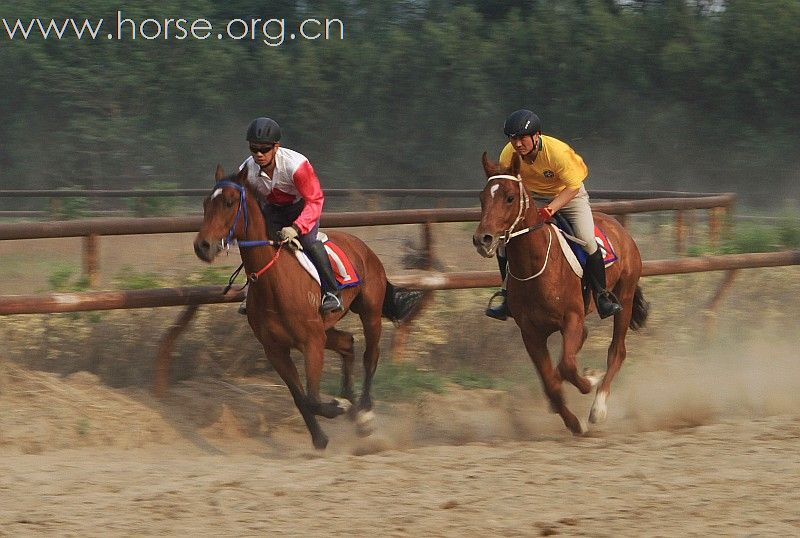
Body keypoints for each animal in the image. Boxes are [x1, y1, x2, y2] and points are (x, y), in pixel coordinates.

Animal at [192, 166, 424, 448]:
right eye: (206, 203)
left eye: (228, 202)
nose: (203, 246)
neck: (274, 283)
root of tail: (363, 247)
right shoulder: (276, 349)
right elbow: (301, 398)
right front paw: (321, 436)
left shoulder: (311, 342)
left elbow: (313, 398)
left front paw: (340, 407)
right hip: (326, 328)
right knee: (347, 343)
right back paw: (354, 407)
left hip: (369, 313)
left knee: (370, 356)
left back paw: (365, 414)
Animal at [472, 153, 648, 434]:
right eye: (482, 197)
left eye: (509, 197)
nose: (483, 239)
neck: (535, 267)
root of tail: (619, 228)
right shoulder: (531, 333)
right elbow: (551, 382)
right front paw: (573, 422)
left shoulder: (572, 319)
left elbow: (566, 365)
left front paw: (589, 381)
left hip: (625, 297)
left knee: (616, 351)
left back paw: (598, 407)